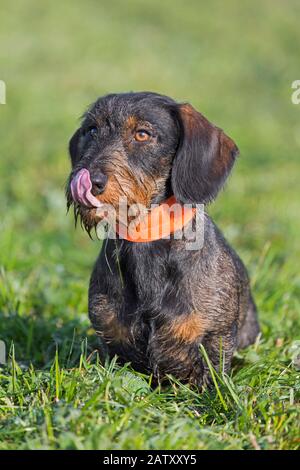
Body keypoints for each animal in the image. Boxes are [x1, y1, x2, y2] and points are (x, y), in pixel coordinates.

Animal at [67, 92, 258, 390]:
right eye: (92, 130)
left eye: (142, 134)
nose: (88, 180)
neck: (145, 238)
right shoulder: (113, 342)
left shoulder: (215, 339)